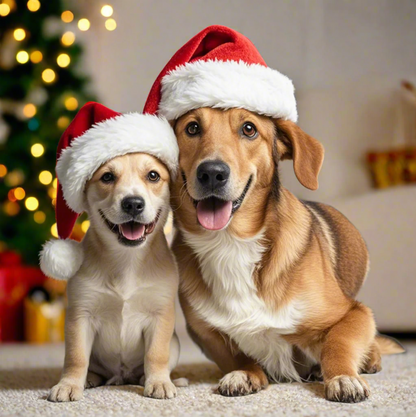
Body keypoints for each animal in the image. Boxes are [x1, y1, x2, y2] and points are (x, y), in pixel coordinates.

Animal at [40, 102, 182, 402]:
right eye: (107, 177)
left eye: (153, 175)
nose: (133, 203)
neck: (126, 260)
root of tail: (120, 376)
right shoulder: (80, 316)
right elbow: (76, 358)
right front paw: (69, 384)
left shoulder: (160, 316)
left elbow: (156, 354)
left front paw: (159, 382)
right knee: (93, 367)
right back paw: (91, 379)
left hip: (175, 342)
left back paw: (153, 378)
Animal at [169, 108, 404, 404]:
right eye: (192, 128)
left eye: (249, 129)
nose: (212, 172)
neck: (230, 243)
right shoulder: (205, 333)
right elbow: (238, 356)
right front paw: (246, 374)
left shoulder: (354, 312)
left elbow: (337, 345)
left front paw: (342, 377)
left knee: (371, 343)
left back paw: (366, 360)